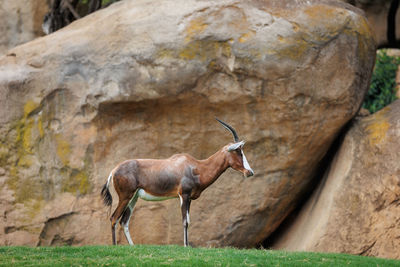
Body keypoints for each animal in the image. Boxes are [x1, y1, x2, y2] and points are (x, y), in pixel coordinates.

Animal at [101, 119, 255, 247]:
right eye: (238, 151)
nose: (250, 172)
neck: (195, 166)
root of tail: (114, 170)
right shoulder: (184, 195)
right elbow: (185, 221)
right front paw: (186, 246)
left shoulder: (189, 199)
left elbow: (188, 220)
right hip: (125, 197)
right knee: (114, 218)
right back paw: (115, 247)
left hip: (133, 198)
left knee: (124, 221)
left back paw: (132, 247)